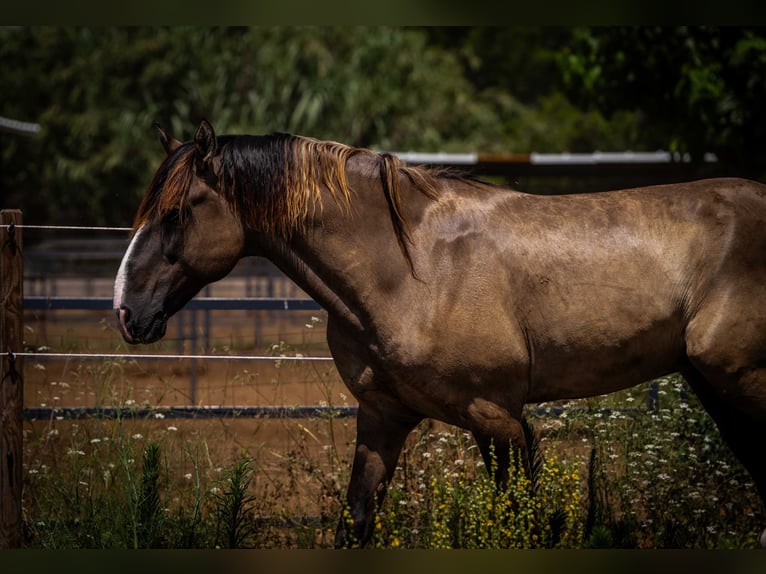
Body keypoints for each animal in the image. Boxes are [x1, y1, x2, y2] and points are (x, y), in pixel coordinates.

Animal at [113, 119, 766, 548]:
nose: (125, 310)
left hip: (739, 380)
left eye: (177, 213)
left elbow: (521, 523)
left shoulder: (498, 417)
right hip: (717, 385)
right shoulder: (383, 416)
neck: (414, 269)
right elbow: (356, 522)